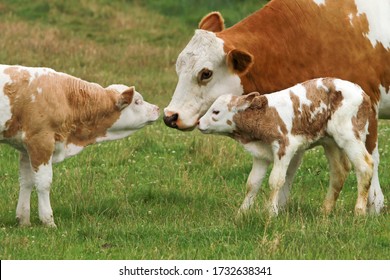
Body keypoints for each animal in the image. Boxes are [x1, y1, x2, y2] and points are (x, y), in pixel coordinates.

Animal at [0, 64, 159, 226]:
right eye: (137, 101)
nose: (157, 108)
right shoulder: (40, 140)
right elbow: (44, 183)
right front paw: (48, 221)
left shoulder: (25, 148)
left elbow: (26, 182)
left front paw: (23, 221)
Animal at [200, 77, 374, 215]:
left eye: (215, 112)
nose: (199, 123)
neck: (266, 114)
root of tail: (362, 93)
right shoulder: (261, 155)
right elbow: (252, 183)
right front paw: (241, 213)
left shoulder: (284, 147)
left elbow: (275, 181)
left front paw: (270, 212)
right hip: (330, 141)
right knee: (339, 171)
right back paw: (325, 211)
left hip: (349, 136)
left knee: (365, 167)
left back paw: (359, 212)